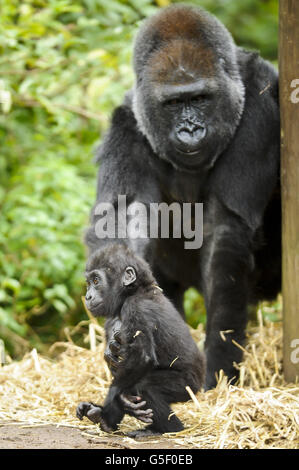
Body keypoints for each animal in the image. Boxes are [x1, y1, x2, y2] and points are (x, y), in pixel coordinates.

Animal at [76, 246, 205, 436]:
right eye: (89, 283)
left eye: (96, 280)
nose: (88, 296)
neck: (135, 290)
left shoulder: (137, 308)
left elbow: (142, 358)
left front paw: (118, 398)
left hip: (189, 386)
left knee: (145, 386)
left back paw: (167, 429)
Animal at [86, 5, 282, 390]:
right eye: (174, 103)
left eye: (200, 99)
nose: (190, 130)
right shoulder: (128, 121)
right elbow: (123, 219)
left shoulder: (260, 103)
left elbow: (225, 232)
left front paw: (218, 362)